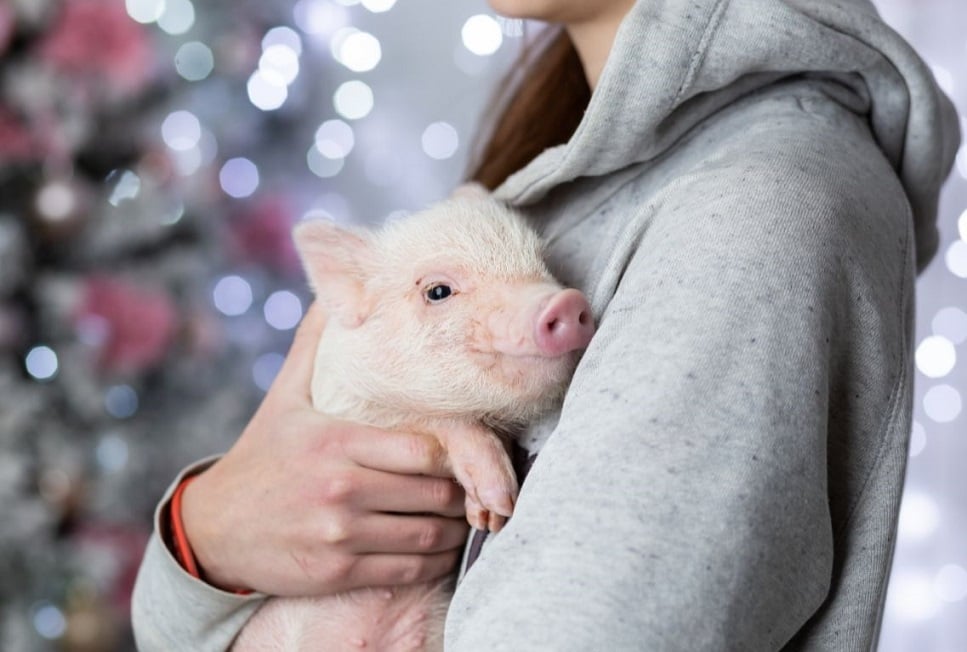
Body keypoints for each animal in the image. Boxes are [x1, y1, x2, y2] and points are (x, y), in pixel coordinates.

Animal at [232, 191, 596, 651]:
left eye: (542, 263)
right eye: (438, 291)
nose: (566, 302)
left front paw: (487, 515)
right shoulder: (348, 405)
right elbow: (443, 422)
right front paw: (497, 503)